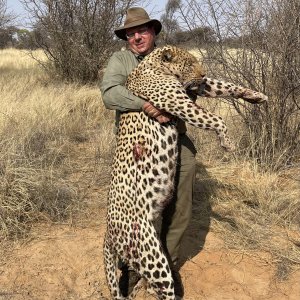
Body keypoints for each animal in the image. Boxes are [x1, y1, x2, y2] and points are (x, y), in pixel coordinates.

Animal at [103, 44, 268, 300]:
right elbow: (215, 119)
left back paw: (142, 286)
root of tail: (108, 235)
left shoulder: (194, 87)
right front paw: (227, 143)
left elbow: (224, 86)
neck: (153, 64)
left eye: (196, 63)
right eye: (189, 63)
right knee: (163, 286)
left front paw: (255, 95)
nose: (202, 72)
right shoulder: (180, 103)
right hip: (151, 254)